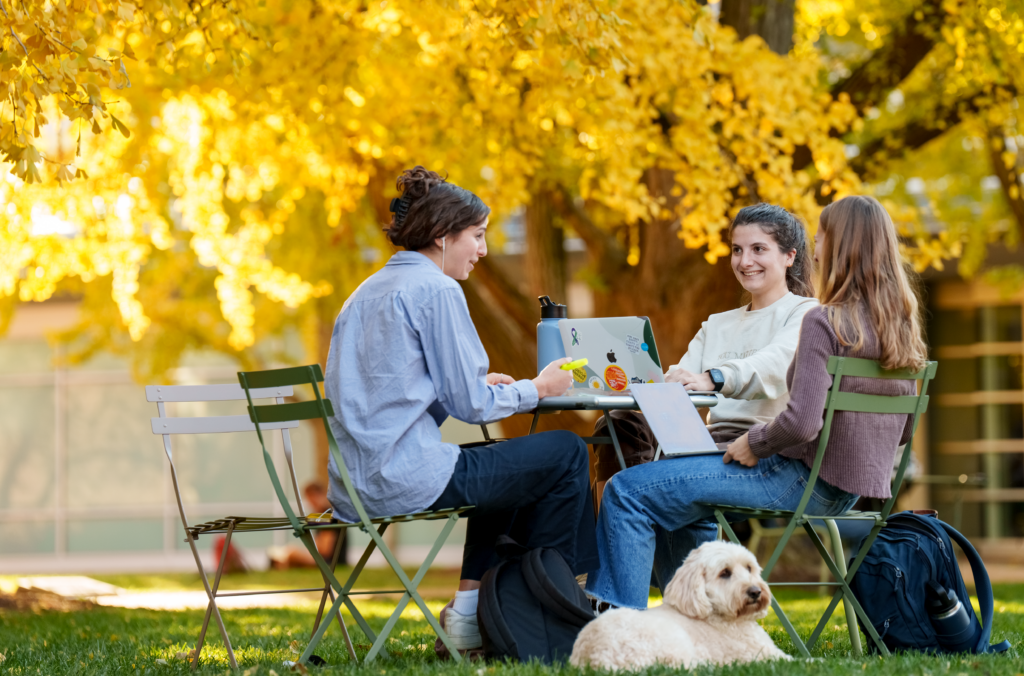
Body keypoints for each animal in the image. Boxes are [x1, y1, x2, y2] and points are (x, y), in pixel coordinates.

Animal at [573, 536, 786, 671]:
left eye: (749, 568)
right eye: (724, 573)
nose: (756, 591)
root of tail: (595, 657)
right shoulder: (764, 654)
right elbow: (793, 660)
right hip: (674, 642)